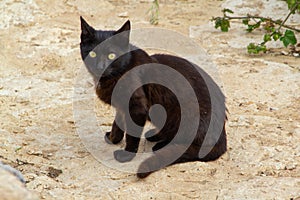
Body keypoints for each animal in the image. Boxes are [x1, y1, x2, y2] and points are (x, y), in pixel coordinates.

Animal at [79, 16, 227, 177]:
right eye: (92, 54)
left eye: (112, 55)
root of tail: (222, 140)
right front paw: (113, 138)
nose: (100, 66)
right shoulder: (122, 106)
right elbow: (117, 123)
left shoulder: (137, 107)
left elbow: (132, 134)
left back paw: (161, 146)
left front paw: (127, 155)